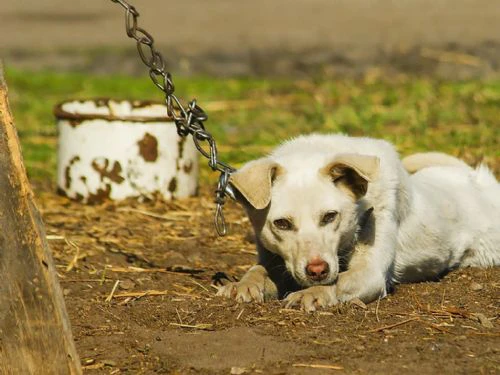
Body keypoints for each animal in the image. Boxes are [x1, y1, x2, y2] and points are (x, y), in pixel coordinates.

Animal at [216, 135, 500, 312]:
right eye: (282, 223)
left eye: (330, 216)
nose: (317, 270)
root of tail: (477, 178)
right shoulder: (275, 259)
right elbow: (258, 270)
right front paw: (244, 285)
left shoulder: (370, 273)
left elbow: (339, 281)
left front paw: (311, 293)